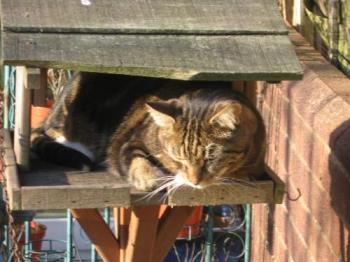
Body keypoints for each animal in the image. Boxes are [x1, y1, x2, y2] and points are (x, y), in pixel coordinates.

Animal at [32, 72, 266, 191]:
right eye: (178, 157)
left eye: (211, 157)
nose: (194, 181)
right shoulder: (128, 141)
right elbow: (135, 158)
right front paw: (149, 178)